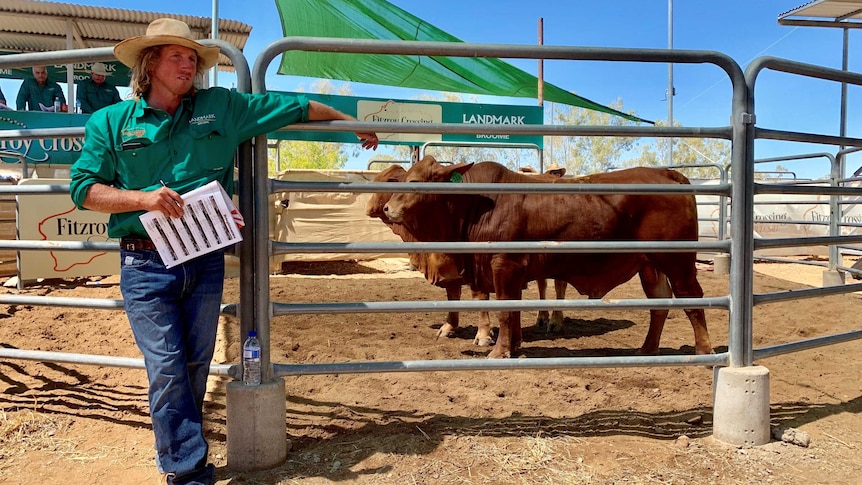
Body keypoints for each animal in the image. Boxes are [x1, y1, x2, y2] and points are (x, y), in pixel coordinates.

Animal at [384, 157, 716, 358]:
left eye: (415, 183)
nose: (387, 208)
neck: (477, 205)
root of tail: (667, 173)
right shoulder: (511, 272)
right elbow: (514, 311)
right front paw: (515, 345)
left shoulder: (503, 265)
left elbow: (505, 311)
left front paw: (499, 351)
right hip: (650, 265)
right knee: (660, 303)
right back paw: (646, 350)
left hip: (677, 261)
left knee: (691, 299)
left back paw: (703, 351)